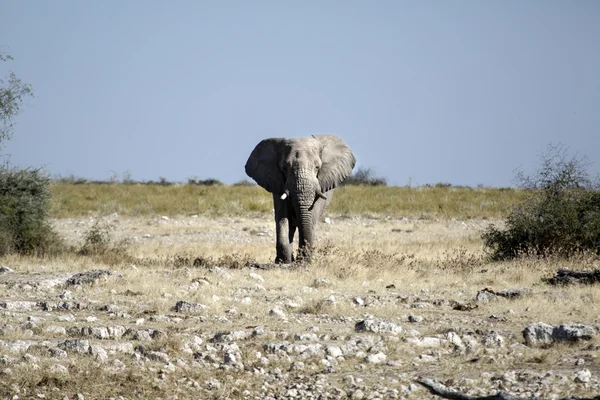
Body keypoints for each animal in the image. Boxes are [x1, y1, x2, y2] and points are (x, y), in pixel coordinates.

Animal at [245, 136, 354, 264]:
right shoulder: (278, 183)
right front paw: (284, 261)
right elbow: (282, 217)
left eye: (317, 167)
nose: (300, 259)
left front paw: (303, 261)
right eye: (284, 168)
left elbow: (311, 216)